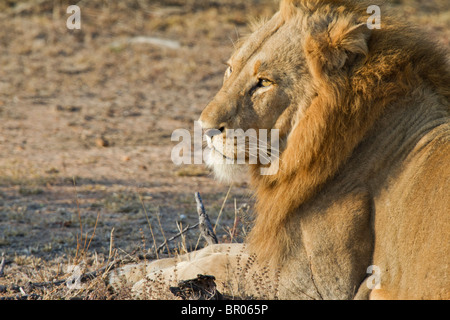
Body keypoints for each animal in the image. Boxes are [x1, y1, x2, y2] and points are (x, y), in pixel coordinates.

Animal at [110, 0, 450, 300]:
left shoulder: (318, 284)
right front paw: (132, 271)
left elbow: (229, 264)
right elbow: (218, 249)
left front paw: (147, 283)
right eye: (230, 69)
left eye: (263, 82)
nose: (205, 128)